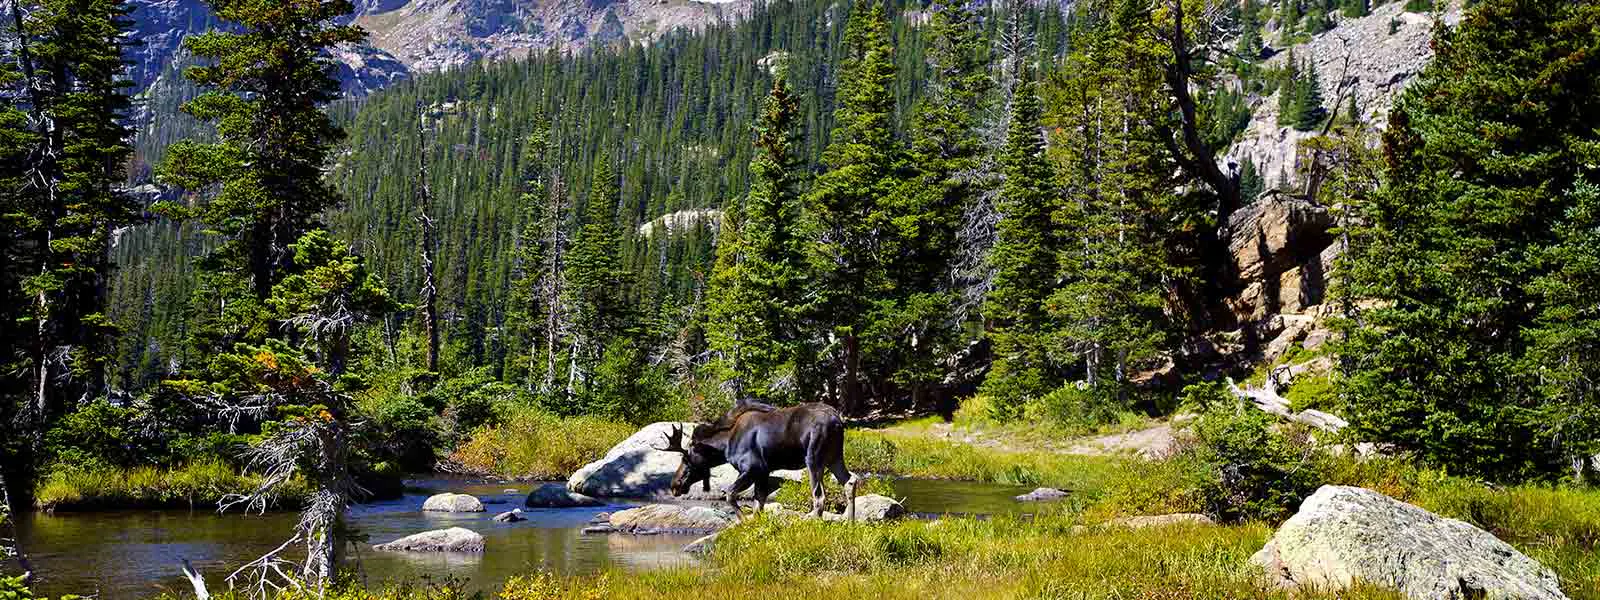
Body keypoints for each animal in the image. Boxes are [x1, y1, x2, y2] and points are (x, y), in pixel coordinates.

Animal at [655, 401, 859, 521]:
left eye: (686, 458)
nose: (674, 485)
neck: (725, 445)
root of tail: (838, 421)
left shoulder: (752, 468)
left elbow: (730, 494)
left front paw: (743, 522)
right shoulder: (764, 472)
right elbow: (758, 504)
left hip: (814, 458)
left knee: (819, 496)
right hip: (834, 457)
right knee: (850, 481)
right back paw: (850, 522)